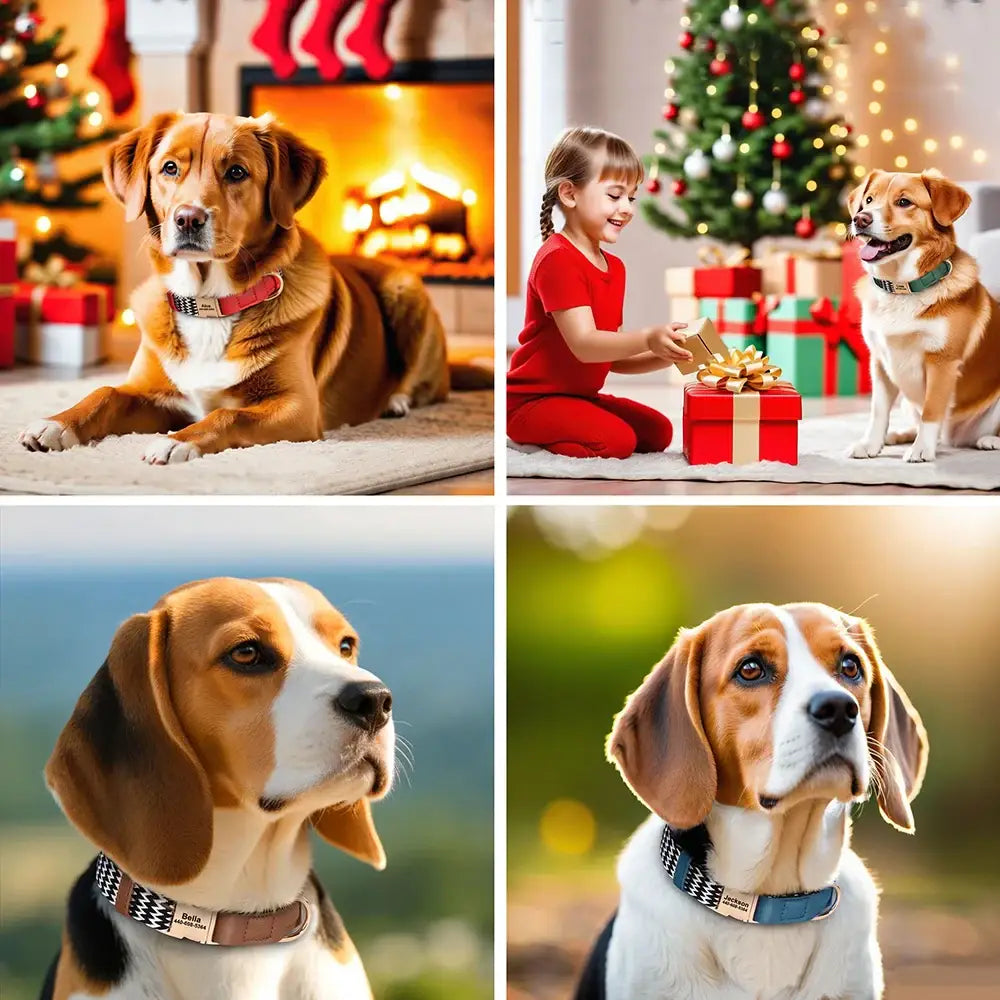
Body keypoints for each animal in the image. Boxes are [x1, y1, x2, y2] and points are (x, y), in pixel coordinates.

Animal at [17, 112, 456, 464]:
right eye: (170, 168)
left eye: (237, 172)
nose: (188, 219)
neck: (210, 302)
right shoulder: (154, 394)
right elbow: (105, 391)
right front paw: (55, 424)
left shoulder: (297, 408)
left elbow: (226, 414)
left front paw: (175, 442)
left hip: (406, 289)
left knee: (429, 386)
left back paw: (397, 400)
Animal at [848, 169, 1000, 464]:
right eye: (869, 200)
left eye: (904, 202)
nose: (860, 219)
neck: (901, 287)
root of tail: (957, 438)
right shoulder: (880, 362)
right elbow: (878, 412)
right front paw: (871, 445)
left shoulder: (942, 363)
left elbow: (931, 411)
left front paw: (921, 450)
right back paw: (898, 435)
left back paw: (988, 440)